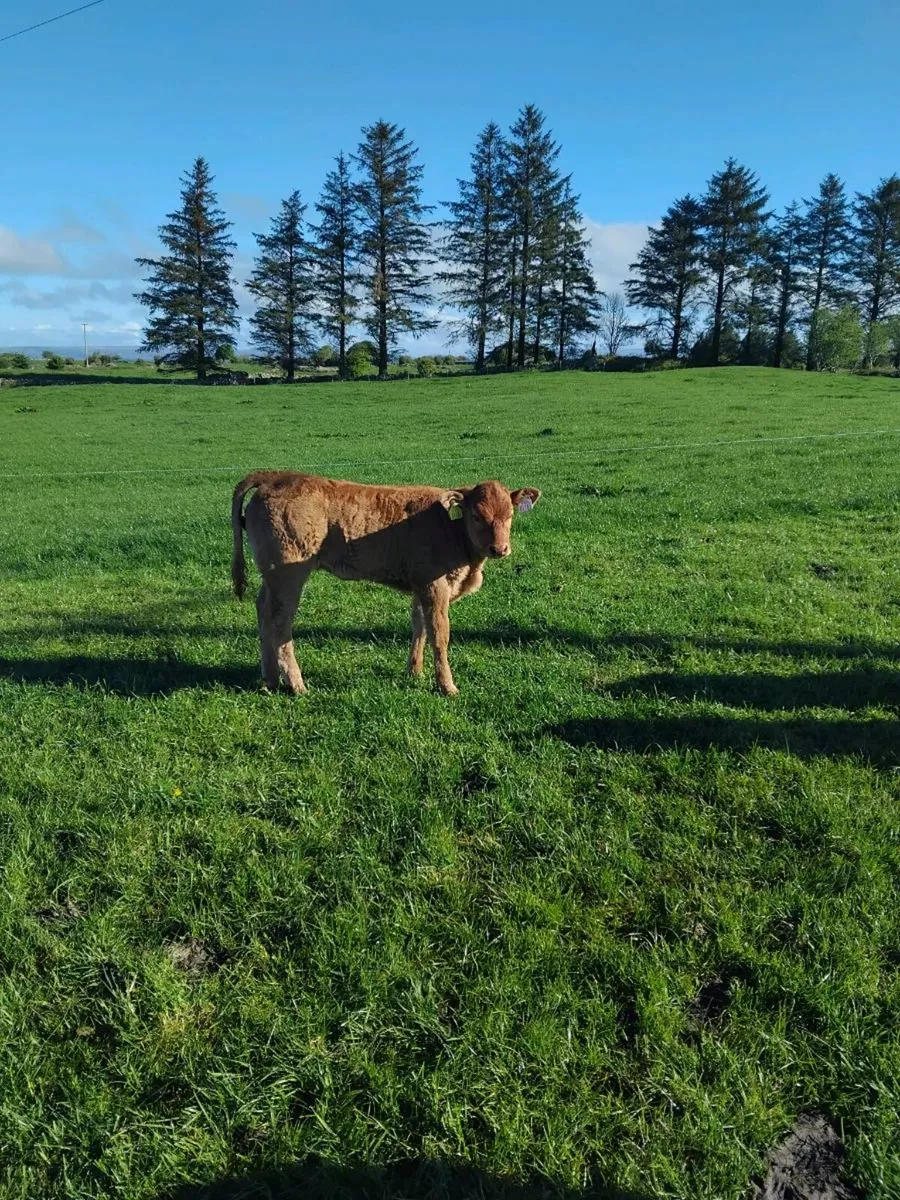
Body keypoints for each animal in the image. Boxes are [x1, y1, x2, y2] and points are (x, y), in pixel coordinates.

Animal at [231, 471, 541, 696]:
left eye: (509, 515)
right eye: (476, 516)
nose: (499, 548)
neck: (452, 533)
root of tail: (276, 476)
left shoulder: (420, 586)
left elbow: (419, 627)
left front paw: (415, 672)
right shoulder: (435, 587)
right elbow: (439, 634)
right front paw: (447, 686)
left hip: (272, 576)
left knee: (263, 611)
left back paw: (270, 680)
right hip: (288, 574)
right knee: (280, 623)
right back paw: (297, 685)